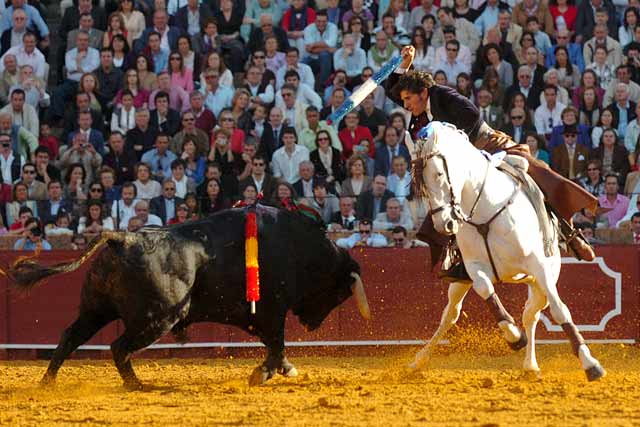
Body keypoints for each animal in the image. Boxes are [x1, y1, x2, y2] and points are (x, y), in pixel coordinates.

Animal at [5, 206, 370, 390]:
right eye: (340, 292)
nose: (310, 324)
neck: (300, 247)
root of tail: (122, 238)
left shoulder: (262, 315)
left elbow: (274, 344)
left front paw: (279, 369)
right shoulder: (272, 310)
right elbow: (277, 342)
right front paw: (268, 372)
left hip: (96, 310)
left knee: (70, 336)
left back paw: (47, 383)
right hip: (157, 318)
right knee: (118, 346)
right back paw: (139, 385)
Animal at [410, 122, 604, 382]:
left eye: (439, 174)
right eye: (419, 185)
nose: (445, 224)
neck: (485, 207)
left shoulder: (538, 267)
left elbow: (559, 310)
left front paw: (590, 363)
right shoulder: (474, 268)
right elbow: (487, 291)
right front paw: (513, 336)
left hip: (542, 279)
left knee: (532, 315)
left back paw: (531, 365)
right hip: (461, 282)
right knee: (450, 315)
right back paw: (419, 360)